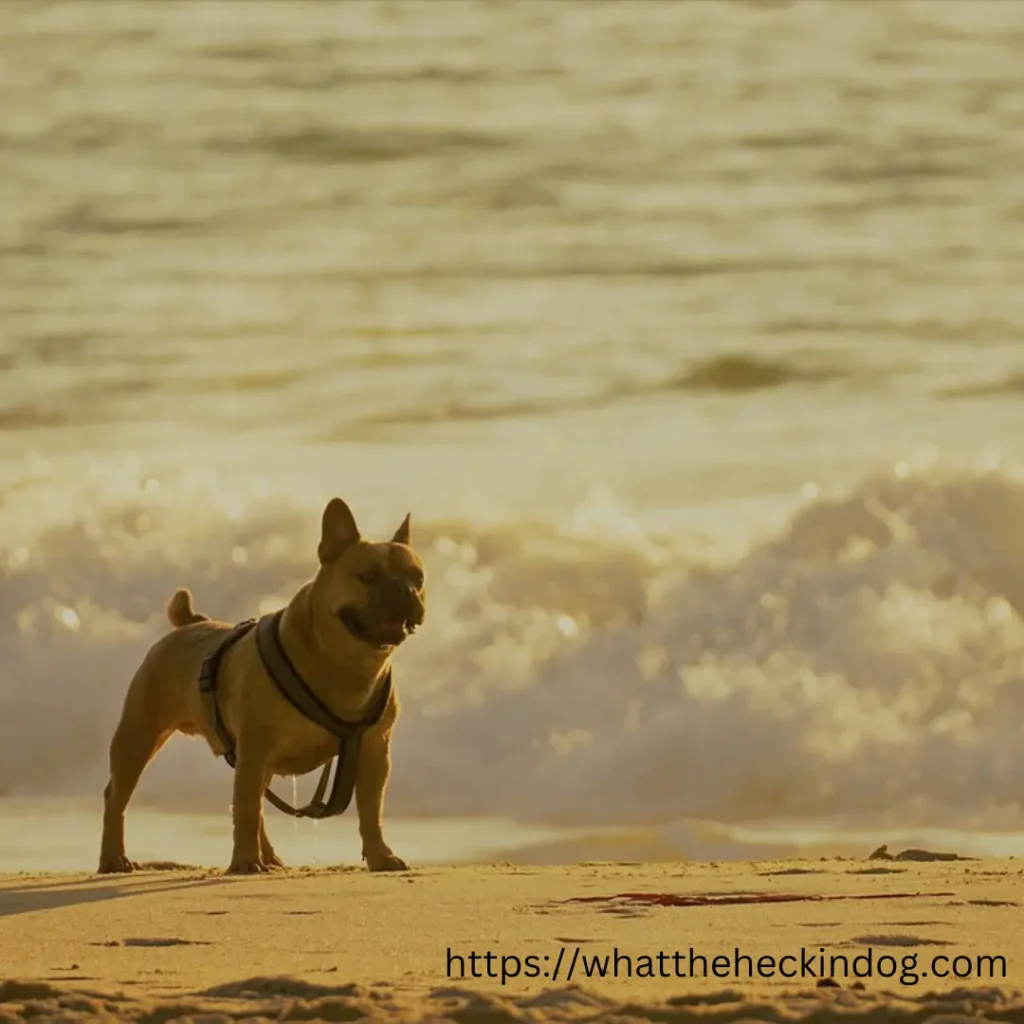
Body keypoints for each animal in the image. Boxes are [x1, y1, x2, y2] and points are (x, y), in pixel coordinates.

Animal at [98, 499, 423, 876]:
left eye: (419, 578)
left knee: (253, 807)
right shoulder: (255, 747)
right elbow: (248, 809)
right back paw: (113, 858)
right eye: (369, 576)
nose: (407, 590)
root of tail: (188, 624)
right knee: (118, 796)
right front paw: (244, 861)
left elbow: (371, 811)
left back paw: (268, 858)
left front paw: (380, 856)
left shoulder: (373, 751)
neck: (347, 665)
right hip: (140, 735)